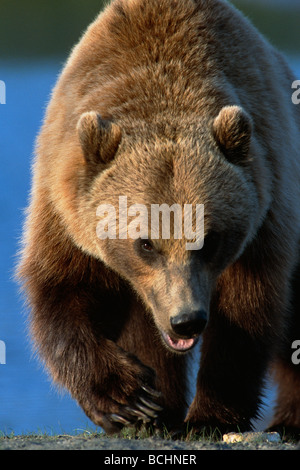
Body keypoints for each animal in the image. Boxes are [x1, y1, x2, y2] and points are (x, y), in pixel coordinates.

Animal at [17, 0, 300, 438]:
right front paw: (130, 397)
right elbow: (61, 291)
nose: (186, 321)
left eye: (209, 239)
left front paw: (210, 415)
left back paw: (287, 421)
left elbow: (247, 312)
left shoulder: (265, 211)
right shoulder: (64, 203)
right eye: (145, 242)